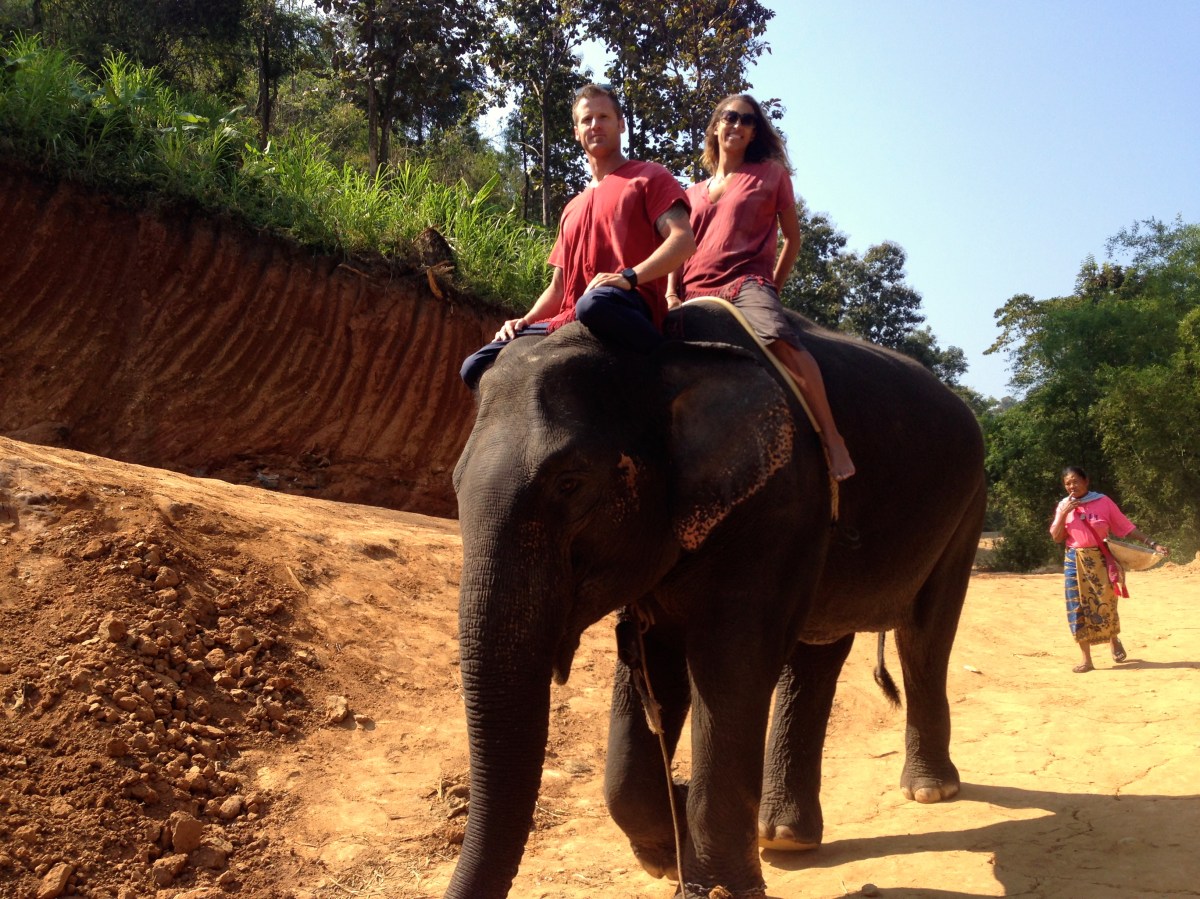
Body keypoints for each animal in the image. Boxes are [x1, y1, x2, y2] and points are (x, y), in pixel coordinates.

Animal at [447, 302, 986, 898]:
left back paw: (929, 792)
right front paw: (669, 850)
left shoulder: (779, 499)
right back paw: (784, 837)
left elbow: (732, 663)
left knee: (923, 638)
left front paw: (712, 880)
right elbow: (652, 664)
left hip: (968, 506)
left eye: (570, 483)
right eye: (455, 483)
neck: (663, 351)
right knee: (819, 650)